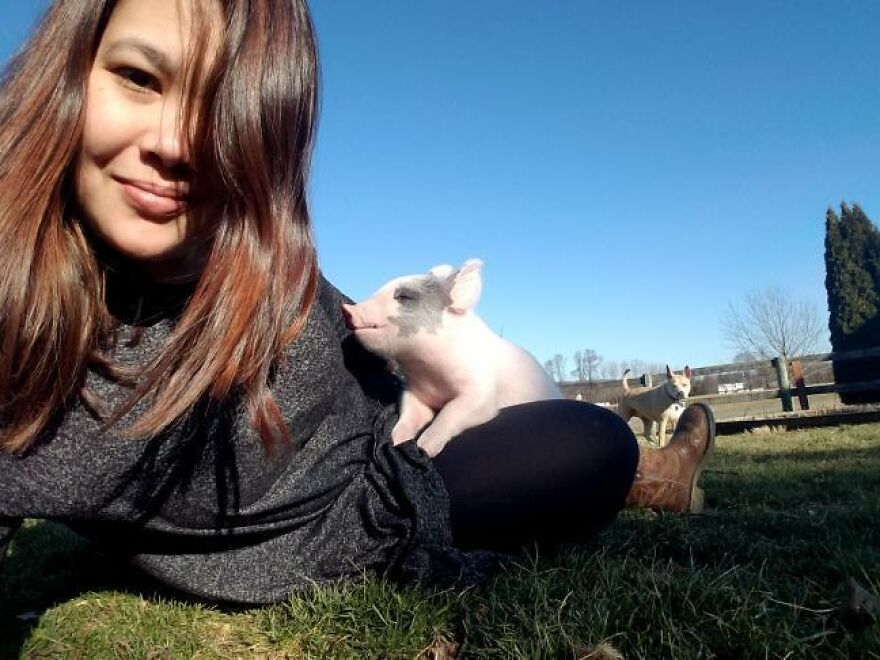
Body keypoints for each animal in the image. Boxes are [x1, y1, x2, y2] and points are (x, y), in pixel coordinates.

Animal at [340, 258, 561, 457]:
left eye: (404, 296)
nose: (346, 309)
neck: (430, 375)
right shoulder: (415, 391)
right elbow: (410, 412)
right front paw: (396, 441)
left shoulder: (481, 391)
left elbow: (451, 411)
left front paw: (424, 448)